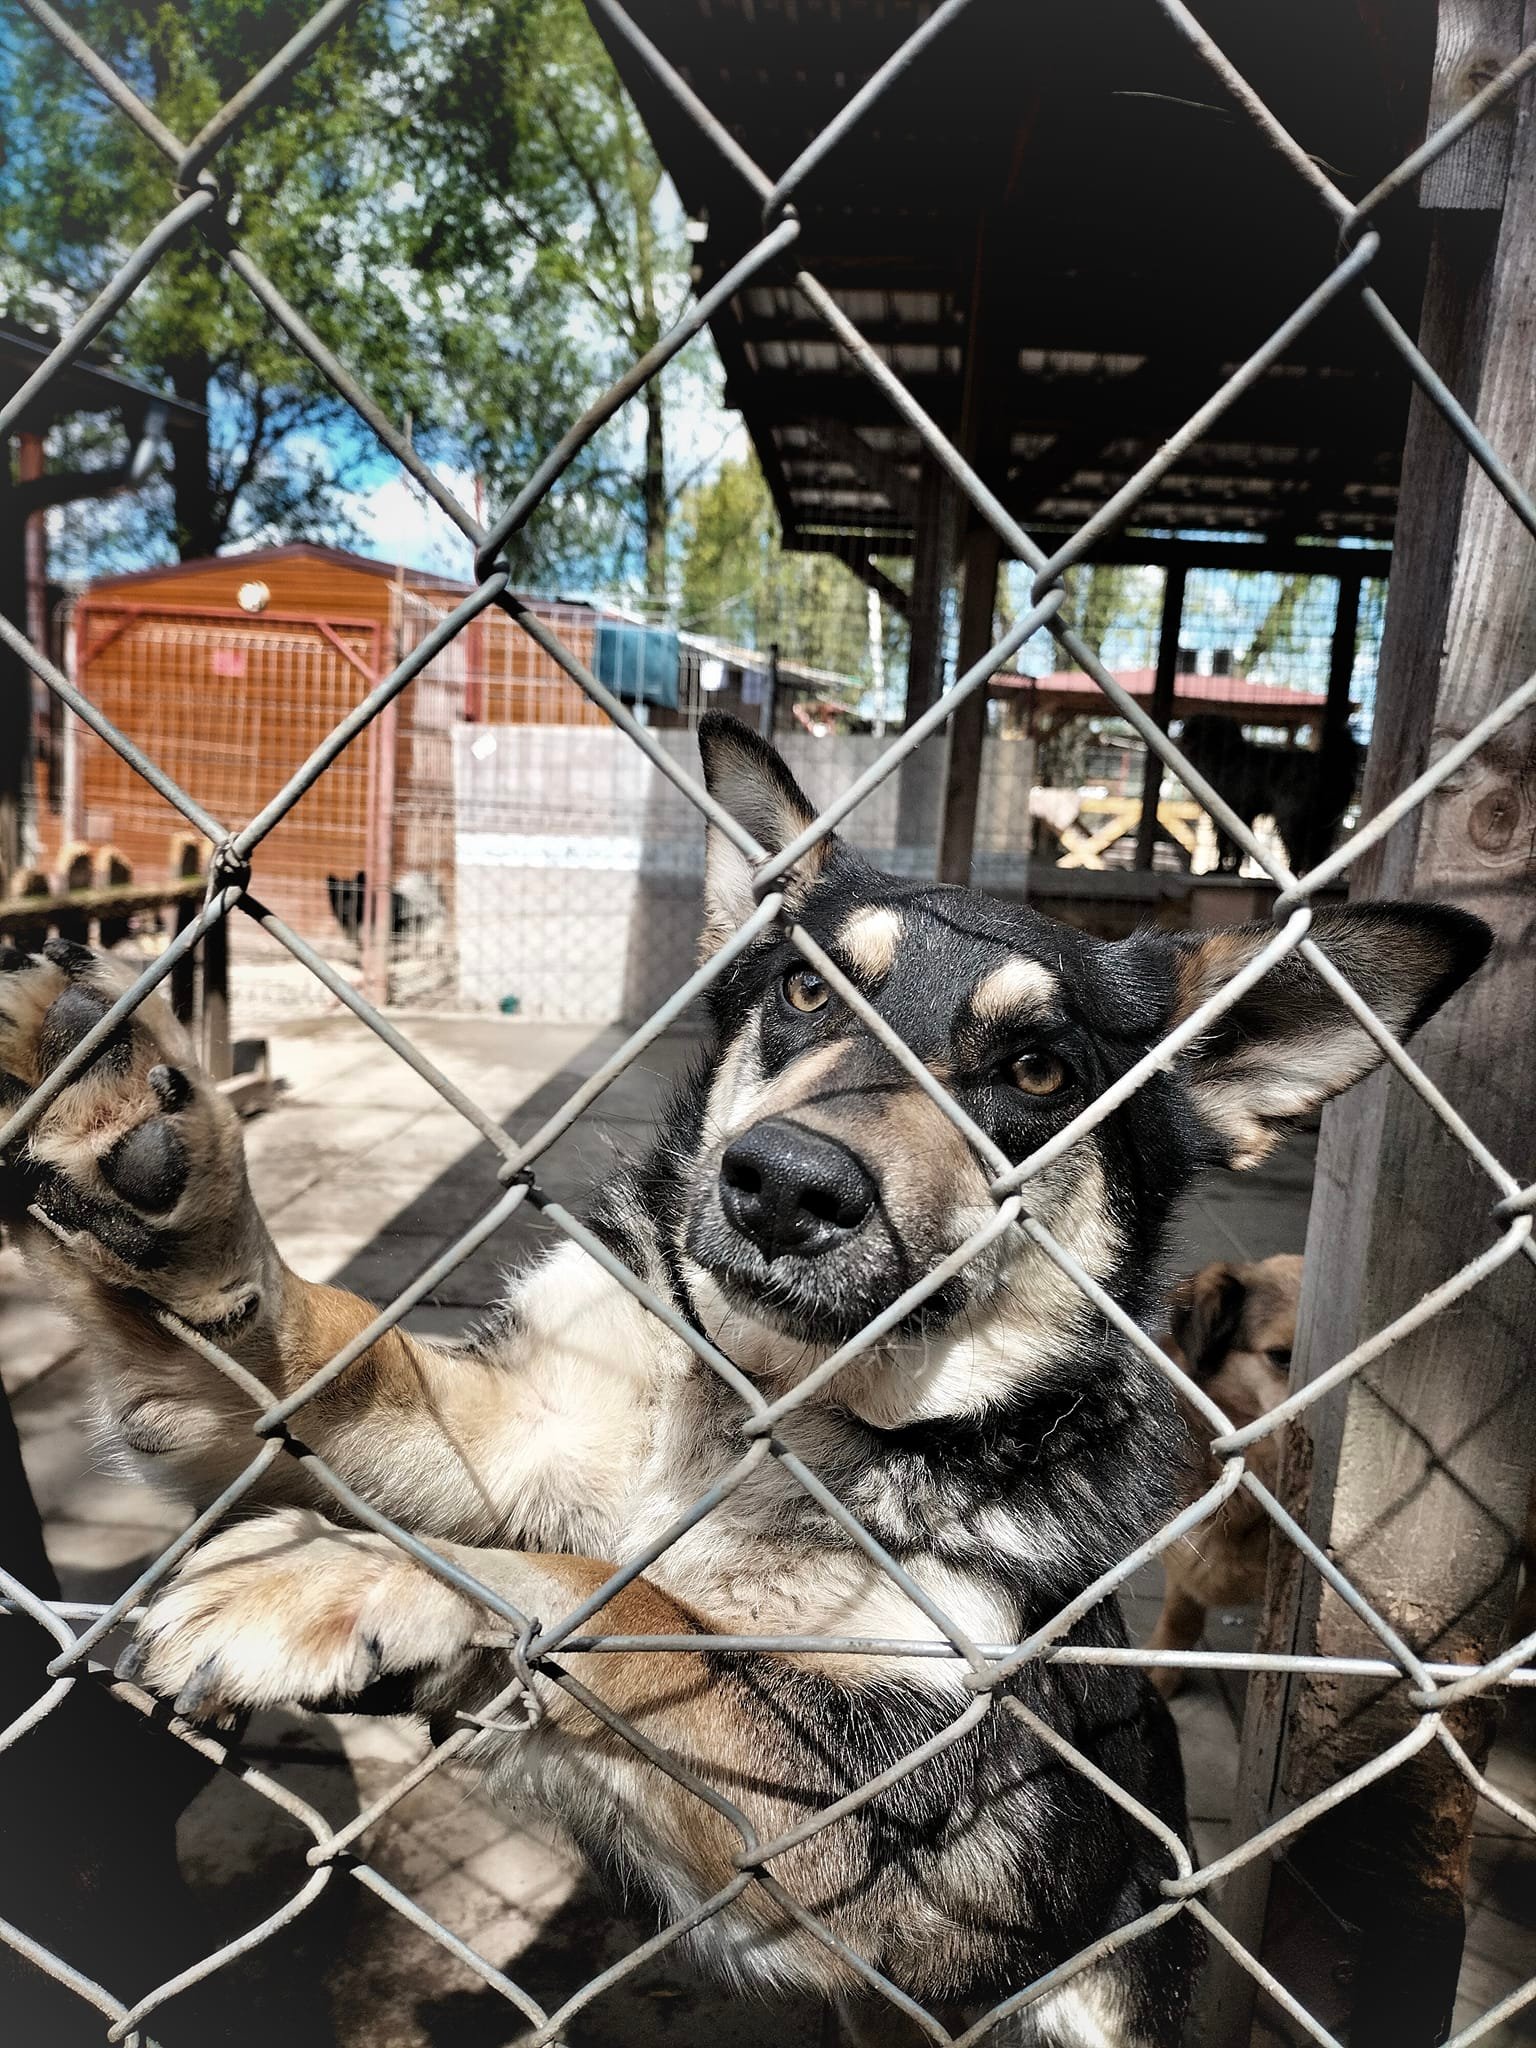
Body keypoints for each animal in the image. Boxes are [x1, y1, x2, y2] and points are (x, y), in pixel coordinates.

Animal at [1174, 713, 1362, 876]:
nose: (1181, 739)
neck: (1221, 754)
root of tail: (1328, 765)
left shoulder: (1228, 813)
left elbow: (1223, 843)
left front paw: (1219, 870)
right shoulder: (1242, 816)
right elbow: (1238, 846)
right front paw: (1232, 870)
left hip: (1290, 821)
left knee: (1299, 852)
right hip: (1321, 828)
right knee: (1317, 855)